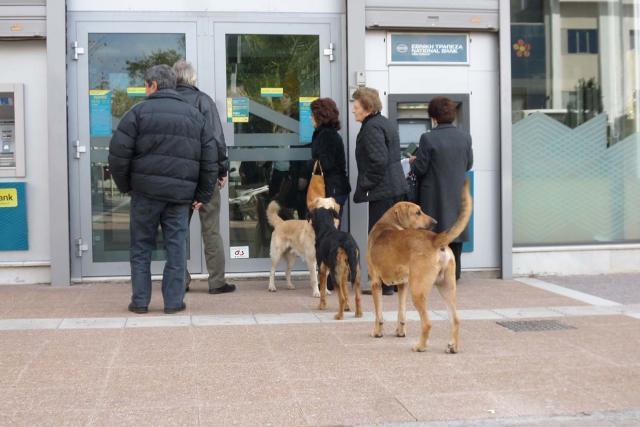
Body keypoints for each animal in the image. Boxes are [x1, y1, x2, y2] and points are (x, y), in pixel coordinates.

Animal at [364, 181, 470, 354]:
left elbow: (379, 315)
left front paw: (377, 332)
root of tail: (435, 239)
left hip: (418, 291)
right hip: (446, 288)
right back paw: (452, 346)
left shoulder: (375, 283)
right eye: (418, 212)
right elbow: (401, 314)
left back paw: (420, 346)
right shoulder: (402, 285)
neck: (388, 224)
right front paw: (400, 332)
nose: (435, 222)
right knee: (455, 319)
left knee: (427, 323)